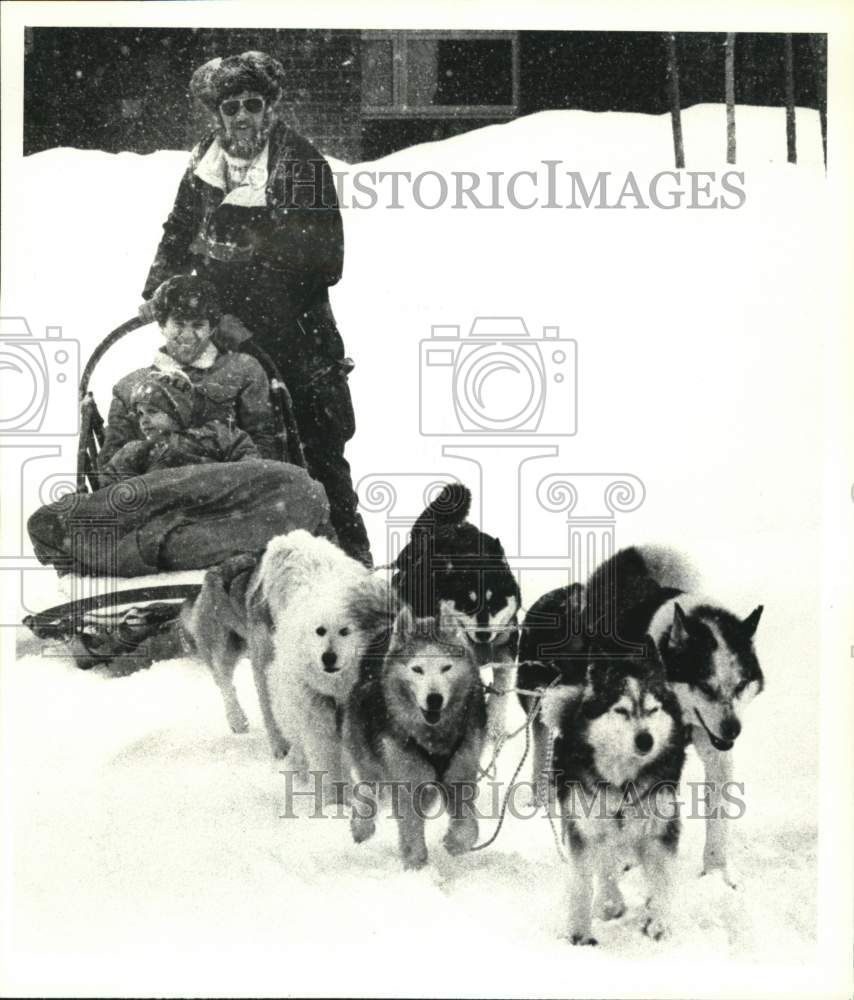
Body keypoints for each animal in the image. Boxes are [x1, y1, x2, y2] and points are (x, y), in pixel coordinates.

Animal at [249, 532, 392, 804]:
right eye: (320, 631)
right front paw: (336, 803)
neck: (340, 690)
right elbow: (328, 763)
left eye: (345, 631)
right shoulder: (319, 724)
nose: (328, 657)